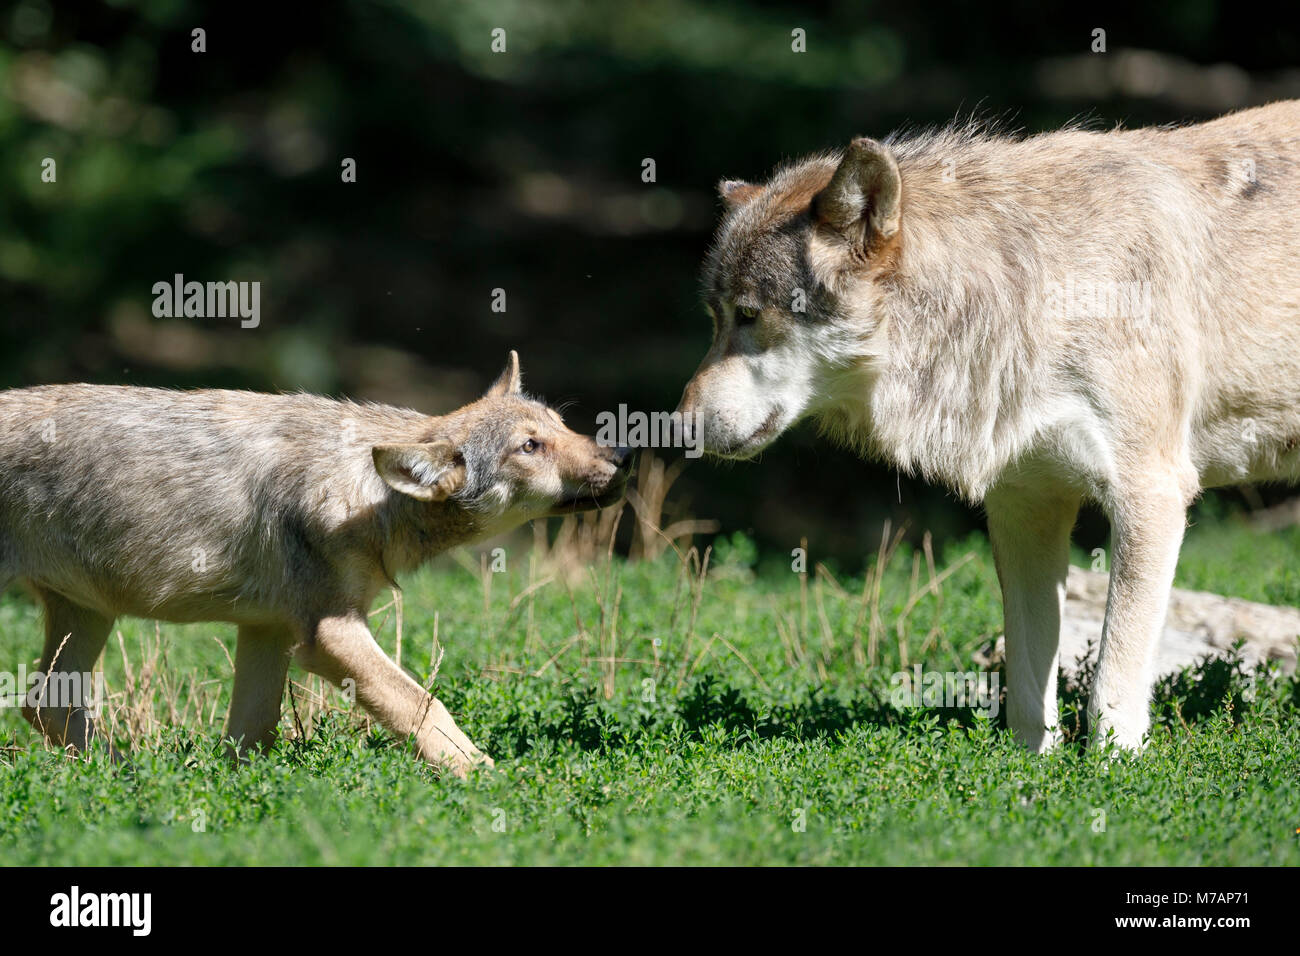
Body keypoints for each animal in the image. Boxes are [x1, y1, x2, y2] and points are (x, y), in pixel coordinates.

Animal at [0, 356, 629, 775]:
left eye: (561, 425)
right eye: (529, 447)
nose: (623, 455)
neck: (366, 490)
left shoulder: (269, 632)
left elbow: (250, 739)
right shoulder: (330, 635)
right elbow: (425, 707)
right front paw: (489, 779)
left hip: (88, 616)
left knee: (43, 706)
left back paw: (131, 778)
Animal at [676, 100, 1300, 749]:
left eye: (750, 316)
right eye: (714, 318)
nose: (678, 425)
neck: (1030, 294)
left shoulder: (1149, 496)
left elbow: (1111, 681)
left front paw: (1114, 767)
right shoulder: (1025, 504)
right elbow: (1025, 684)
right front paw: (1030, 766)